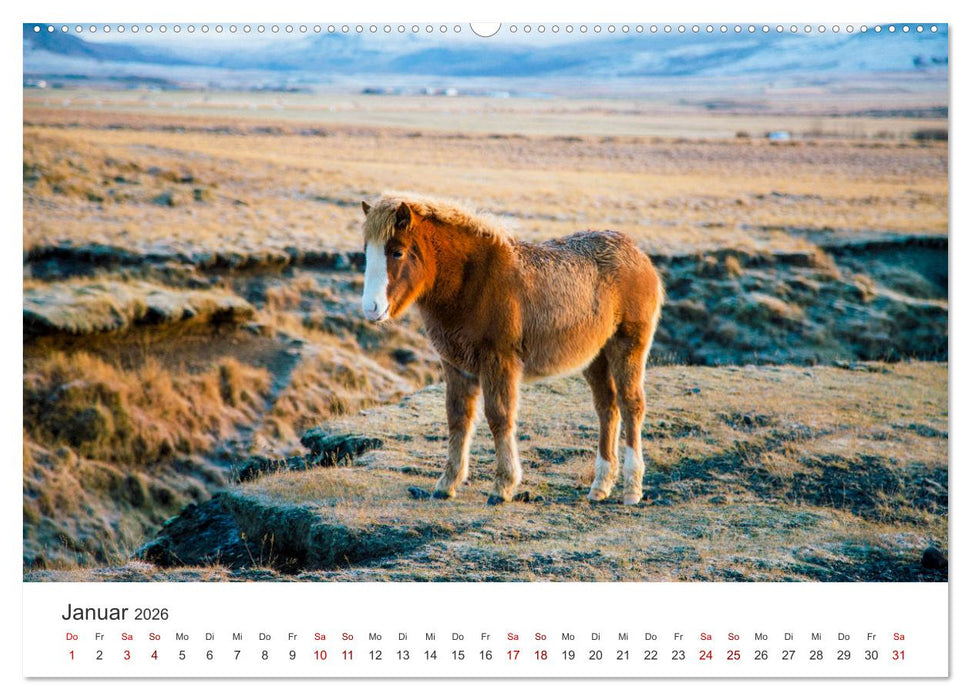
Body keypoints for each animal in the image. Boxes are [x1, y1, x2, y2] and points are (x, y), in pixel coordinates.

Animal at [360, 193, 664, 505]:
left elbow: (499, 417)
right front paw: (447, 483)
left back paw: (632, 489)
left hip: (627, 347)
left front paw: (503, 486)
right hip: (596, 357)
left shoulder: (498, 361)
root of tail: (638, 254)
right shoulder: (455, 365)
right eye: (367, 251)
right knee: (607, 407)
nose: (371, 309)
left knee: (631, 405)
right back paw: (600, 486)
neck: (470, 280)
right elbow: (458, 419)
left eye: (397, 252)